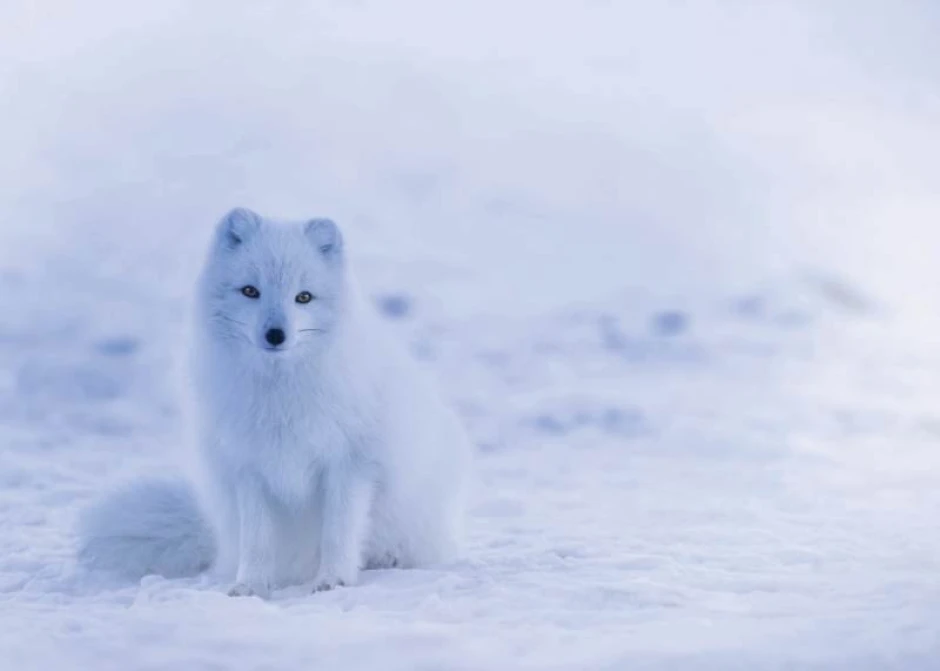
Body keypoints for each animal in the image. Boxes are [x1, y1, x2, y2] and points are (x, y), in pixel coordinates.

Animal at [78, 208, 473, 597]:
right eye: (250, 291)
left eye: (304, 297)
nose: (275, 334)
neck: (279, 393)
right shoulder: (248, 467)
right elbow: (257, 540)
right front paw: (250, 585)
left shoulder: (349, 464)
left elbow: (338, 532)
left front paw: (334, 580)